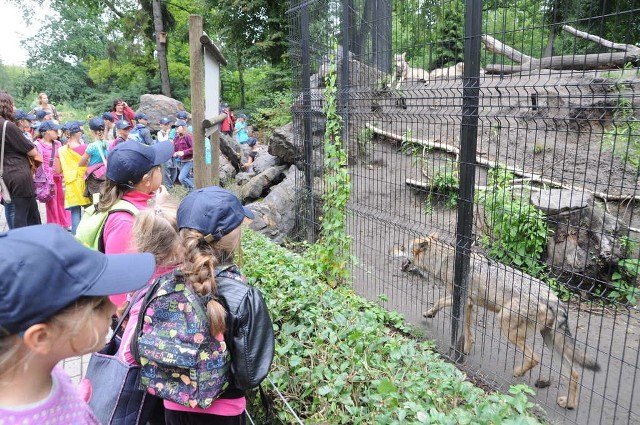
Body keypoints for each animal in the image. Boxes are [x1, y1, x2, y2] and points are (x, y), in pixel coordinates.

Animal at [392, 232, 604, 408]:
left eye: (401, 247)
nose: (390, 249)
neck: (444, 260)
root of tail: (554, 298)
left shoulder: (462, 300)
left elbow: (453, 317)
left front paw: (462, 347)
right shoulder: (468, 303)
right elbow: (451, 314)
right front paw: (432, 316)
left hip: (507, 326)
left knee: (535, 358)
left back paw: (518, 372)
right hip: (551, 343)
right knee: (575, 374)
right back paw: (569, 403)